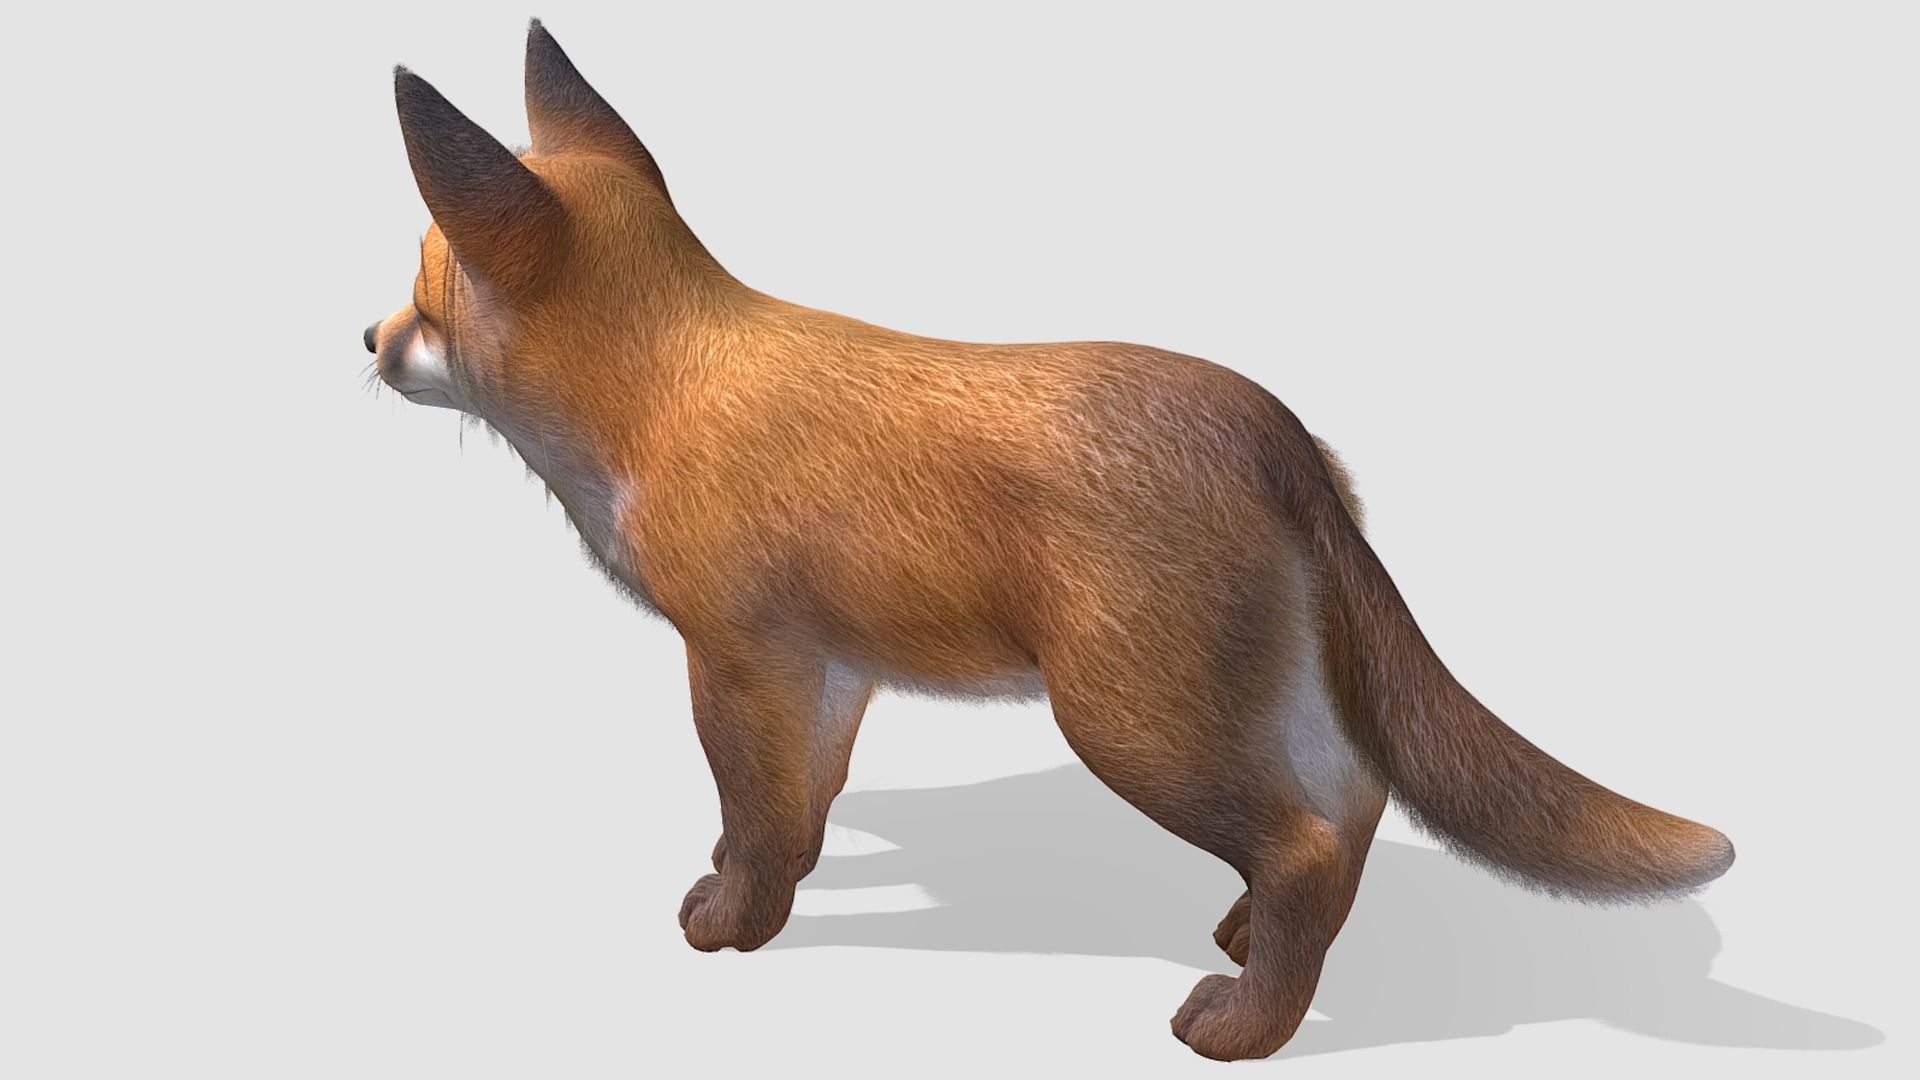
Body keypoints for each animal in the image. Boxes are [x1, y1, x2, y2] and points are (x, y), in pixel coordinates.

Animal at [362, 20, 1734, 1061]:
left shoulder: (739, 658)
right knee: (1351, 807)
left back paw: (1247, 1026)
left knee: (1304, 839)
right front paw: (773, 884)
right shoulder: (832, 664)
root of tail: (1268, 426)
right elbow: (800, 808)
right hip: (1233, 701)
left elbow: (754, 806)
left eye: (424, 299)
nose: (363, 340)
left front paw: (736, 922)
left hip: (1131, 724)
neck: (662, 392)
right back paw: (1256, 951)